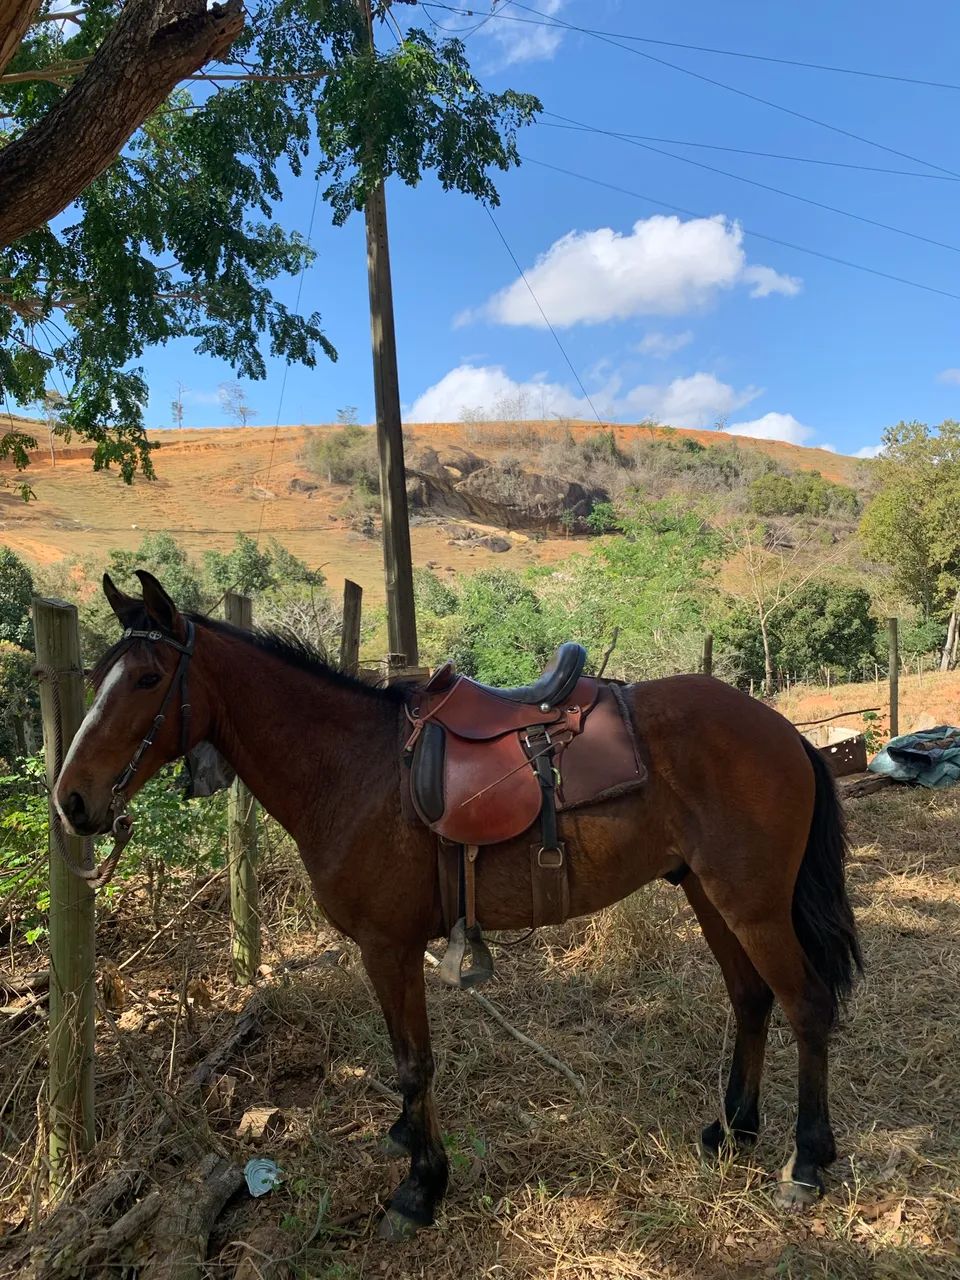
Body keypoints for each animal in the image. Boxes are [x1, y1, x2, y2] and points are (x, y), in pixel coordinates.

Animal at [54, 570, 862, 1241]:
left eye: (148, 678)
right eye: (92, 677)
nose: (72, 801)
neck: (352, 768)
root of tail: (780, 729)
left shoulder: (388, 946)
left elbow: (414, 1063)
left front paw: (421, 1188)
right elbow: (403, 1061)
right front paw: (409, 1145)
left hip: (752, 904)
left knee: (807, 1005)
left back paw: (806, 1162)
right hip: (709, 893)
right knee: (751, 998)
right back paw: (734, 1130)